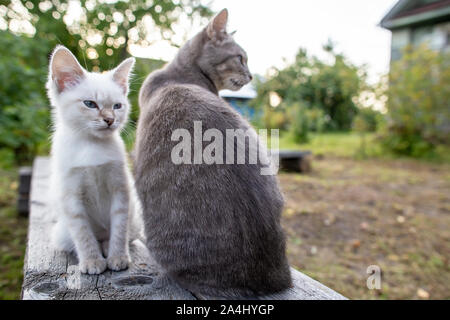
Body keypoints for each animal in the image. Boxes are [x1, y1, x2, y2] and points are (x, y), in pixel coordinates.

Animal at [46, 45, 139, 276]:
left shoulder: (120, 189)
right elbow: (83, 234)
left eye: (117, 106)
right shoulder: (71, 197)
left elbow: (119, 228)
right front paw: (92, 261)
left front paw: (118, 257)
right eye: (90, 104)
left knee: (116, 235)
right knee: (78, 240)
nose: (110, 120)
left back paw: (106, 247)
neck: (92, 145)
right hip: (60, 232)